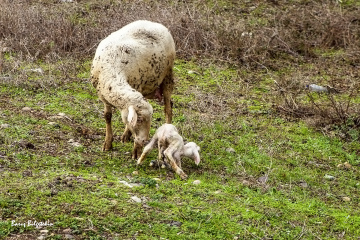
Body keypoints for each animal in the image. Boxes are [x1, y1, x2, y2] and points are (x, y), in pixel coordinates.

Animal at [91, 20, 176, 159]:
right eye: (140, 119)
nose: (144, 140)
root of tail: (155, 23)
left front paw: (136, 150)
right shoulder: (104, 97)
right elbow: (107, 116)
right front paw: (108, 143)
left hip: (168, 75)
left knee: (168, 109)